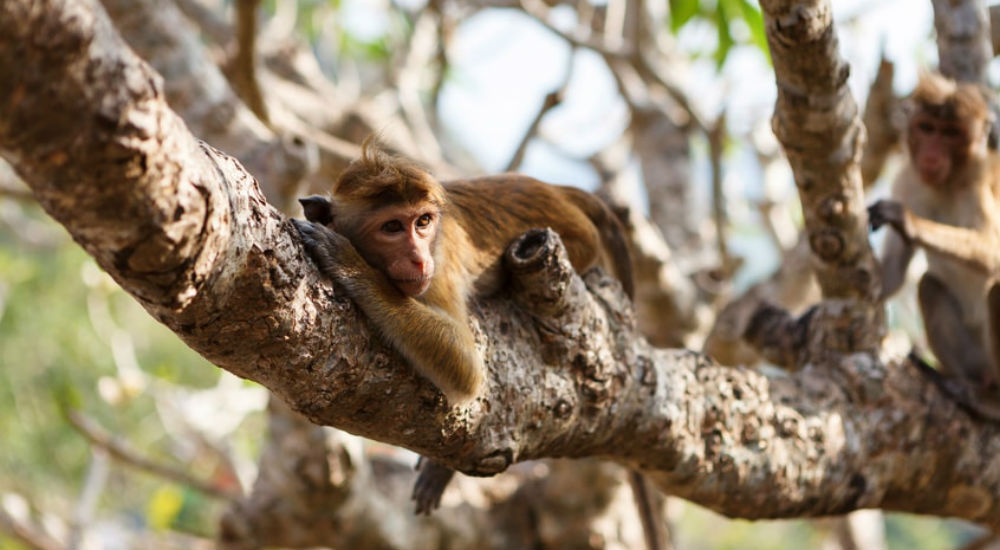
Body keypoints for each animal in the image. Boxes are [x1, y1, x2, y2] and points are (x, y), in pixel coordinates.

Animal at [292, 140, 668, 548]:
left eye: (422, 223)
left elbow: (466, 368)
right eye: (391, 227)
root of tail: (554, 190)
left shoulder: (439, 265)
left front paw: (350, 264)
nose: (418, 258)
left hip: (579, 244)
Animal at [868, 73, 1000, 416]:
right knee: (928, 285)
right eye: (927, 128)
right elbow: (892, 276)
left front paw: (909, 222)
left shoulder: (979, 185)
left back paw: (990, 404)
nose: (931, 154)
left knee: (996, 288)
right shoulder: (906, 181)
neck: (948, 183)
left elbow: (994, 252)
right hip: (975, 359)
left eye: (951, 134)